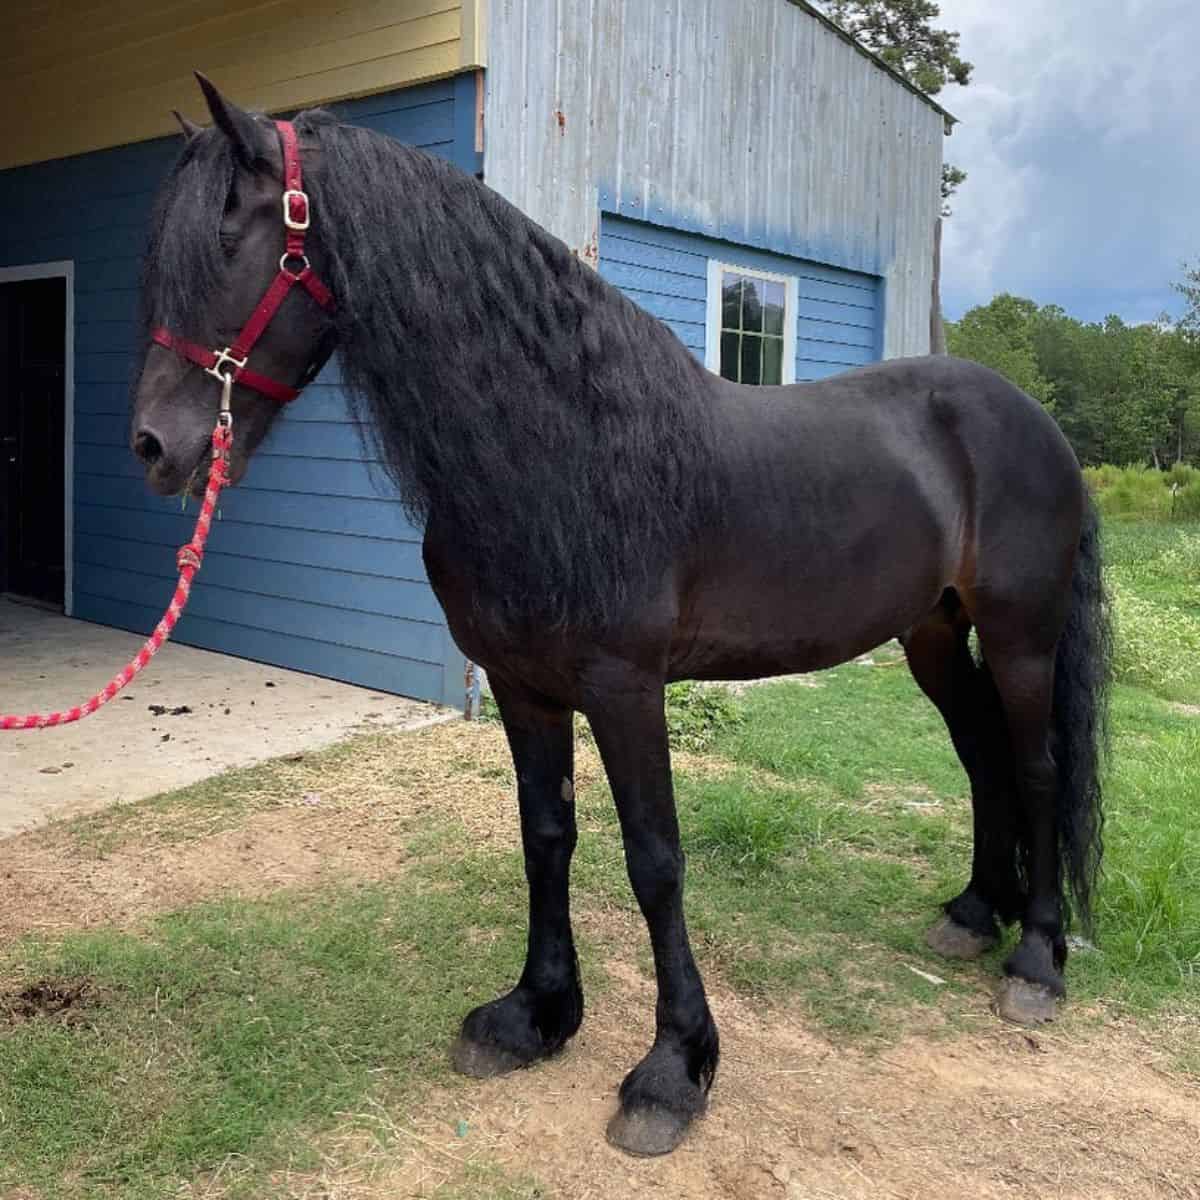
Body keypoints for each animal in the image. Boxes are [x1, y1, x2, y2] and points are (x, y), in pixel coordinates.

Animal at [126, 79, 1108, 1156]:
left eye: (235, 237)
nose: (156, 447)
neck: (566, 448)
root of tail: (1038, 424)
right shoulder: (525, 688)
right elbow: (546, 834)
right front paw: (534, 1015)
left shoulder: (626, 688)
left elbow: (655, 863)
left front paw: (673, 1072)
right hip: (932, 633)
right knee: (979, 753)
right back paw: (975, 914)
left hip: (1020, 637)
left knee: (1035, 767)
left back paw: (1036, 961)